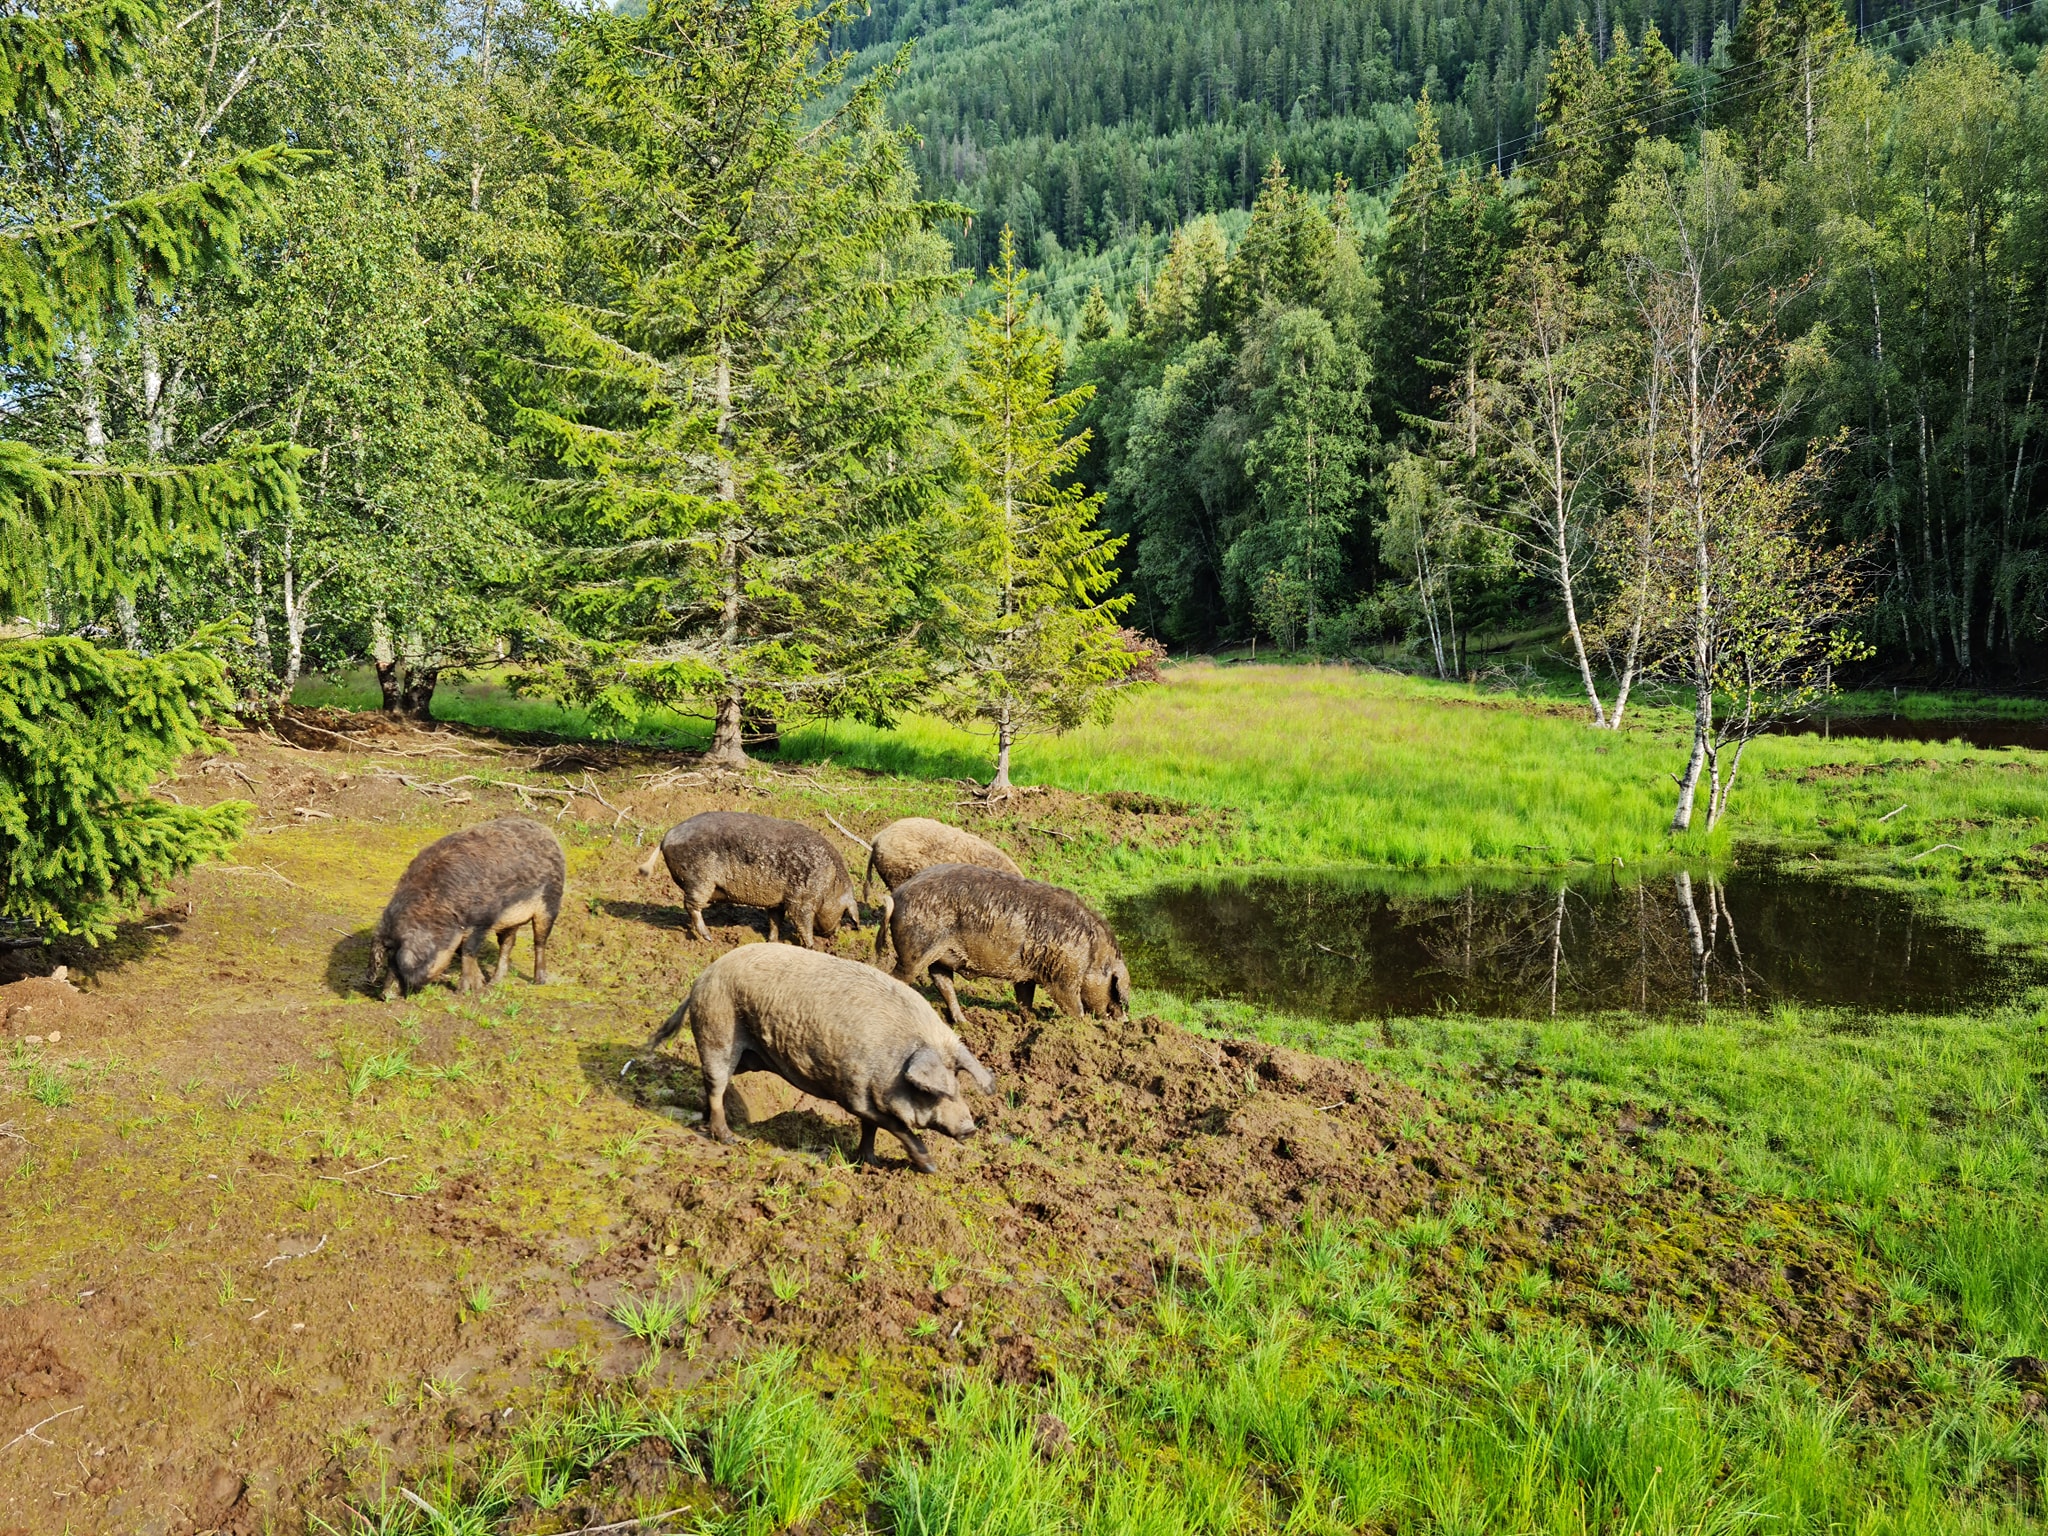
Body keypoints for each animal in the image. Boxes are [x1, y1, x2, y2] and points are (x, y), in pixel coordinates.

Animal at [369, 817, 564, 998]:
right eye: (388, 955)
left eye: (398, 959)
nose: (385, 995)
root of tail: (548, 832)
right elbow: (465, 951)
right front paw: (480, 985)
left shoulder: (481, 920)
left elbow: (468, 951)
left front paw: (462, 992)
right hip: (510, 919)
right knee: (508, 943)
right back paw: (494, 982)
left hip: (550, 901)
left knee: (540, 941)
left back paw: (538, 981)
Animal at [636, 811, 859, 948]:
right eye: (842, 914)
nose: (833, 934)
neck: (830, 883)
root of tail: (666, 837)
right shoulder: (800, 900)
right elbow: (801, 922)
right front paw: (812, 947)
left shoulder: (778, 901)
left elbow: (775, 920)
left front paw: (773, 942)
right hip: (699, 880)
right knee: (691, 904)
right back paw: (708, 938)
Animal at [646, 944, 995, 1172]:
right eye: (931, 1091)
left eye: (957, 1084)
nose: (969, 1128)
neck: (894, 1061)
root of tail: (702, 977)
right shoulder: (855, 1094)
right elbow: (897, 1128)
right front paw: (931, 1167)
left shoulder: (867, 1097)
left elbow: (870, 1129)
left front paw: (871, 1163)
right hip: (718, 1030)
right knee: (716, 1081)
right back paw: (728, 1139)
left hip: (746, 1054)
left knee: (712, 1084)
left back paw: (707, 1122)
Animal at [877, 863, 1132, 1026]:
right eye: (1114, 988)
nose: (1124, 1022)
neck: (1091, 954)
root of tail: (896, 896)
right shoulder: (1063, 976)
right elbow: (1073, 1005)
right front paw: (1083, 1027)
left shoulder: (1027, 975)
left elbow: (1025, 998)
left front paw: (1030, 1022)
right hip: (916, 948)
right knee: (899, 976)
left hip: (940, 956)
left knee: (943, 983)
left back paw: (965, 1024)